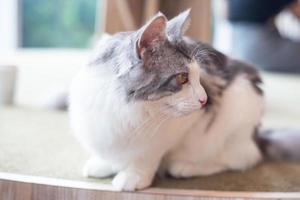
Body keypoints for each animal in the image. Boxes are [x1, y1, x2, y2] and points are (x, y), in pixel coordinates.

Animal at [68, 9, 300, 191]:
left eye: (199, 77)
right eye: (182, 78)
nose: (205, 99)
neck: (123, 105)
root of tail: (257, 137)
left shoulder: (175, 131)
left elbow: (146, 156)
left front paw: (133, 176)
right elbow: (113, 153)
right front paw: (105, 164)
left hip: (238, 110)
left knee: (239, 159)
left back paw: (185, 167)